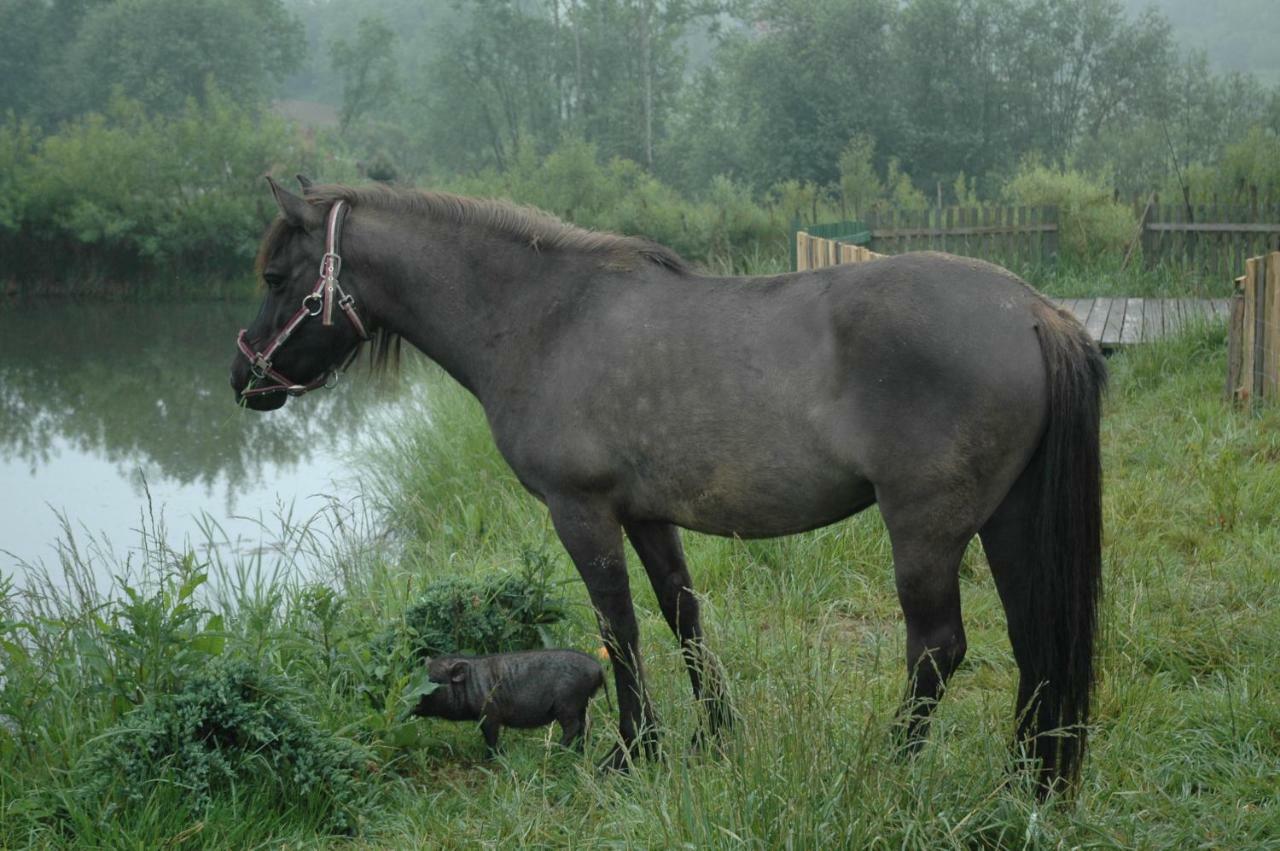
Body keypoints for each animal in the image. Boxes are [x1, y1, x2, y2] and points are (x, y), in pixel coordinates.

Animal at [412, 647, 606, 752]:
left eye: (433, 682)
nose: (411, 704)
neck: (469, 684)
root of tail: (598, 668)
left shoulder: (490, 714)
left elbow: (490, 737)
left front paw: (493, 757)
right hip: (583, 703)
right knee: (586, 725)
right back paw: (580, 752)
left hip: (567, 704)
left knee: (573, 727)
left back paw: (553, 751)